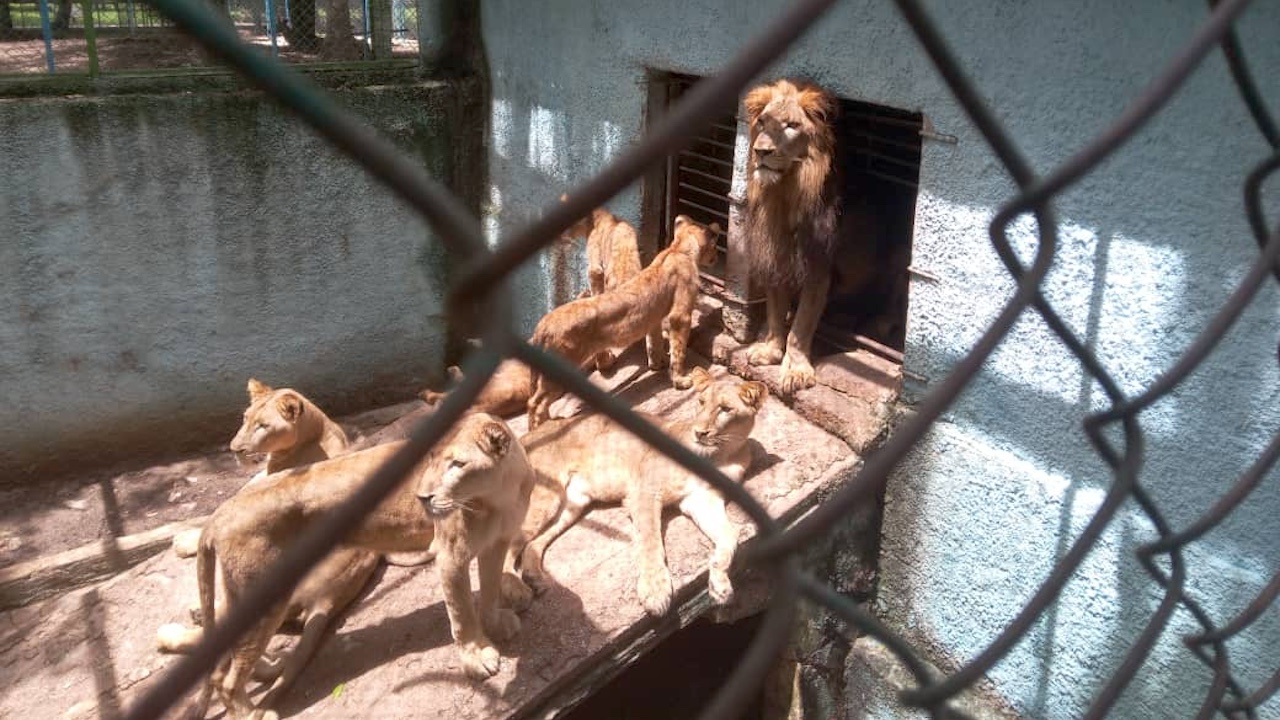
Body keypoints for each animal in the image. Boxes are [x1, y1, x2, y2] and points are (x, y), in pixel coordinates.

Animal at [742, 77, 880, 397]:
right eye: (763, 121)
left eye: (791, 125)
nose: (761, 151)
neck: (786, 194)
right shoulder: (776, 255)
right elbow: (775, 311)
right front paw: (770, 349)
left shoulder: (818, 267)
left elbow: (801, 324)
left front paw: (795, 369)